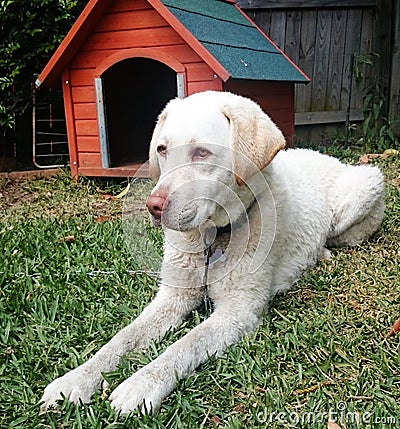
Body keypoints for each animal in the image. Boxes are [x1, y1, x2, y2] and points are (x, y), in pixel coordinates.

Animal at [40, 91, 384, 414]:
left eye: (201, 152)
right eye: (162, 149)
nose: (153, 206)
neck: (212, 238)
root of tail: (327, 156)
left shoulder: (237, 312)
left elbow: (185, 345)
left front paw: (140, 384)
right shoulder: (171, 298)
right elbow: (120, 339)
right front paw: (75, 380)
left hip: (364, 189)